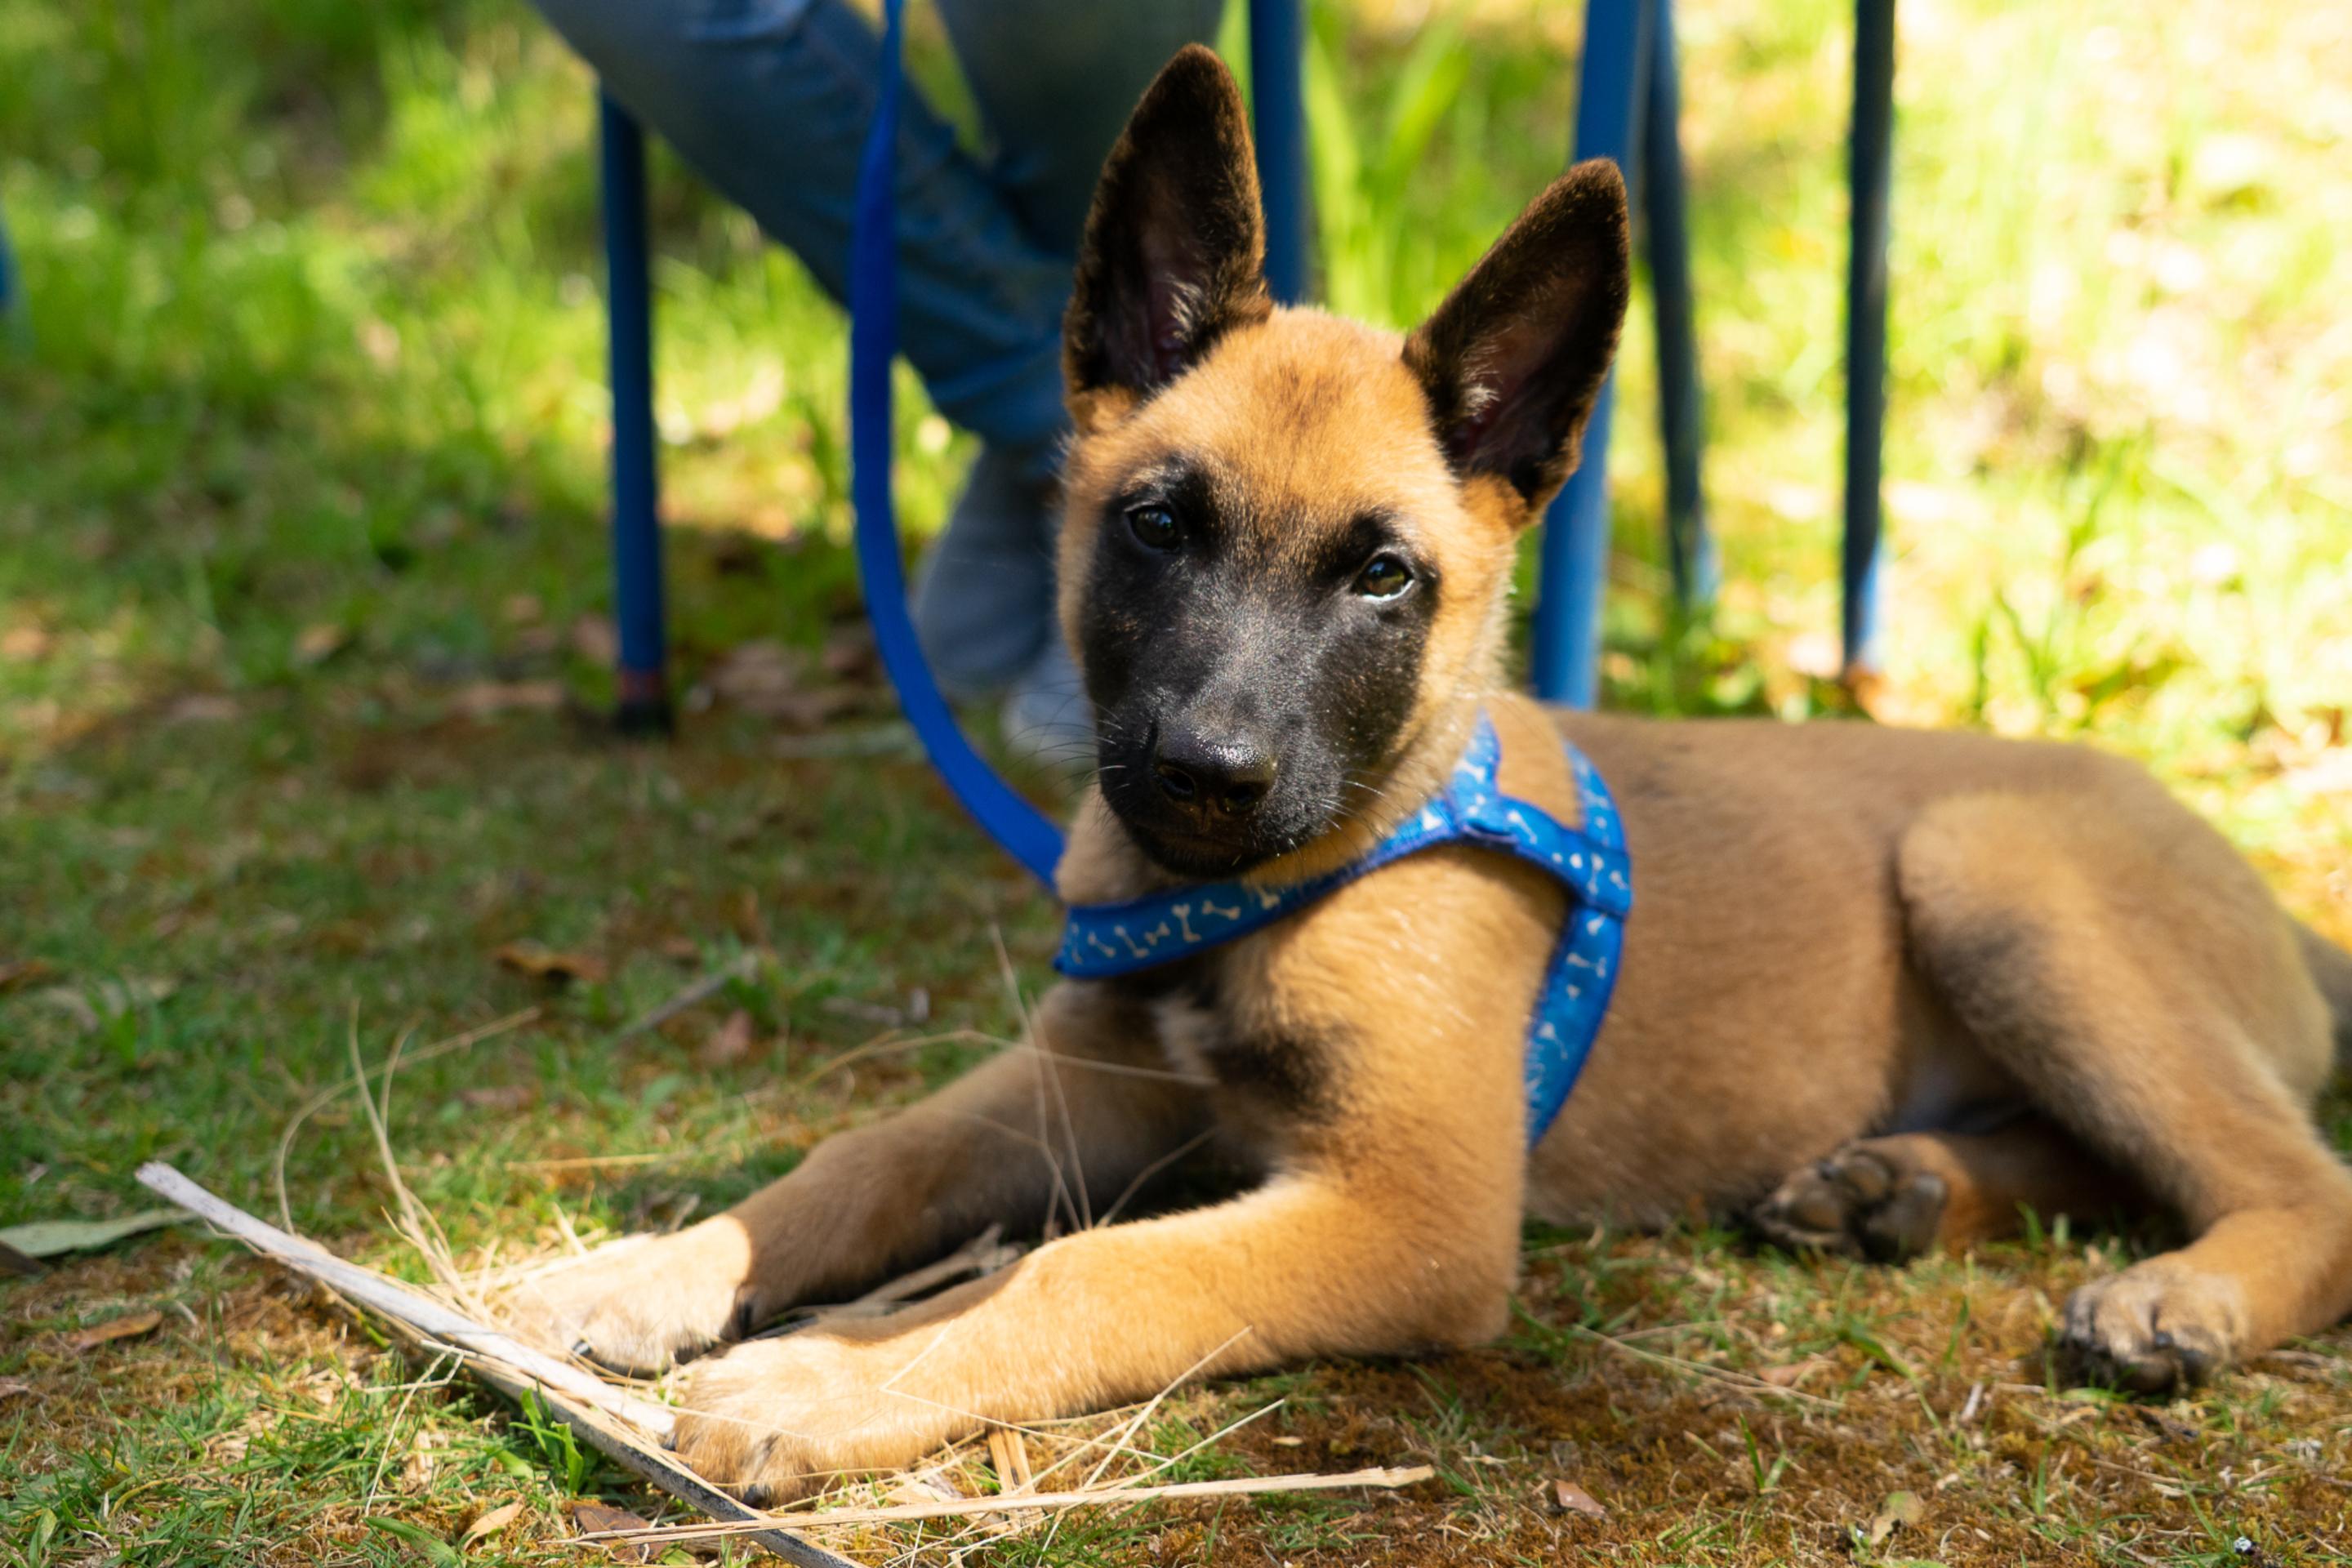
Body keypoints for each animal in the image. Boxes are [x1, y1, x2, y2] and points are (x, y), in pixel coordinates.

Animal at [519, 42, 2352, 1504]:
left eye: (1384, 577)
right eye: (1158, 524)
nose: (1204, 772)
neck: (1284, 882)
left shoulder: (1410, 1209)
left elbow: (1081, 1279)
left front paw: (826, 1385)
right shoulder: (1087, 1082)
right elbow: (866, 1158)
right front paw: (667, 1267)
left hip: (1988, 872)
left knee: (2298, 1180)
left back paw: (2180, 1294)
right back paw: (1897, 1186)